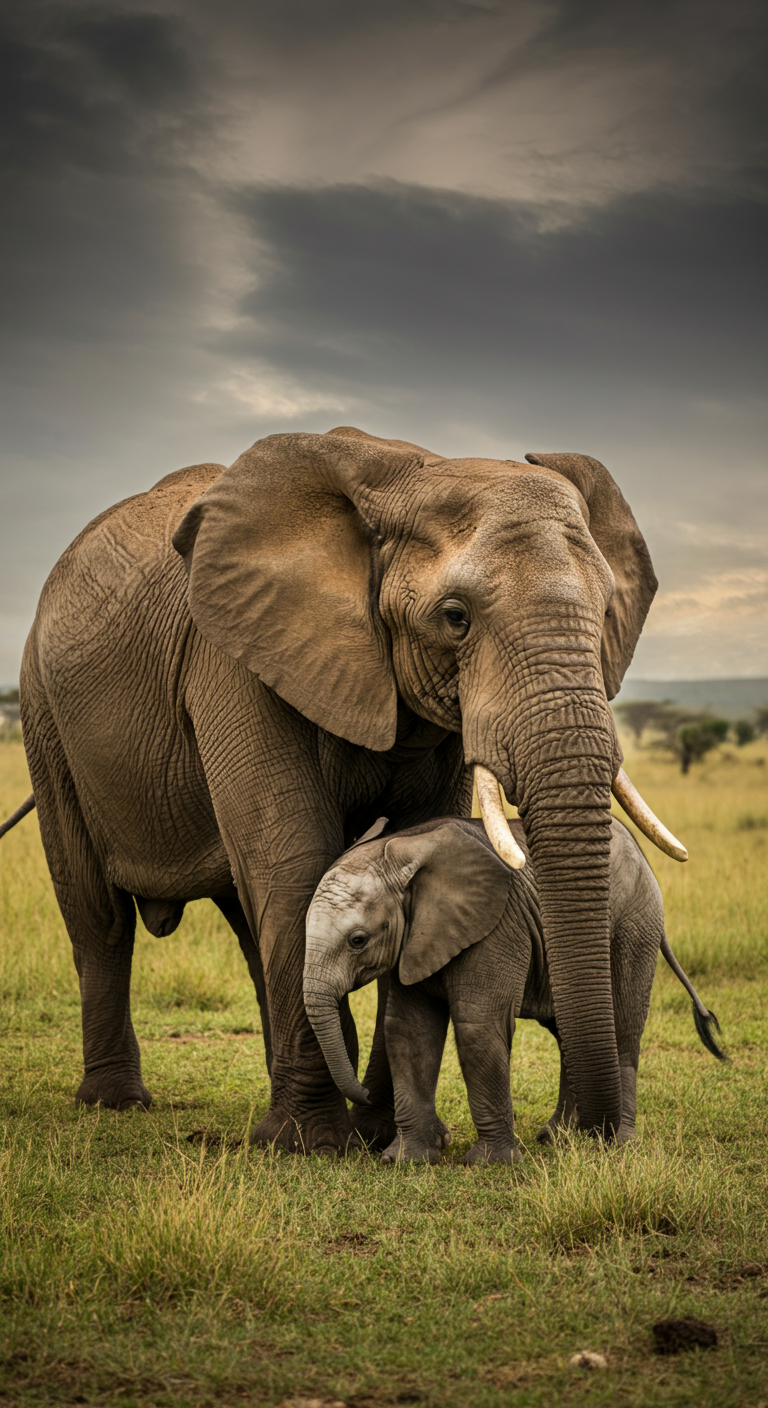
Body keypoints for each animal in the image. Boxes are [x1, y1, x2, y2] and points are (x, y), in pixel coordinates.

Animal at [11, 423, 683, 1153]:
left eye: (607, 610)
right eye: (455, 617)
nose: (586, 1137)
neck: (415, 472)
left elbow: (424, 837)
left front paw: (380, 1137)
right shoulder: (235, 655)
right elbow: (293, 858)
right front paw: (312, 1145)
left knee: (245, 918)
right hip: (44, 710)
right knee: (99, 916)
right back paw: (118, 1103)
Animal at [304, 816, 725, 1164]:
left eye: (358, 940)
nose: (363, 1093)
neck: (406, 845)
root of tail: (645, 861)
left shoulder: (497, 929)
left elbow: (478, 1028)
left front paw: (488, 1164)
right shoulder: (413, 943)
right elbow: (408, 1031)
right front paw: (405, 1160)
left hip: (635, 926)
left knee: (622, 1030)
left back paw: (617, 1143)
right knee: (571, 1034)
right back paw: (558, 1138)